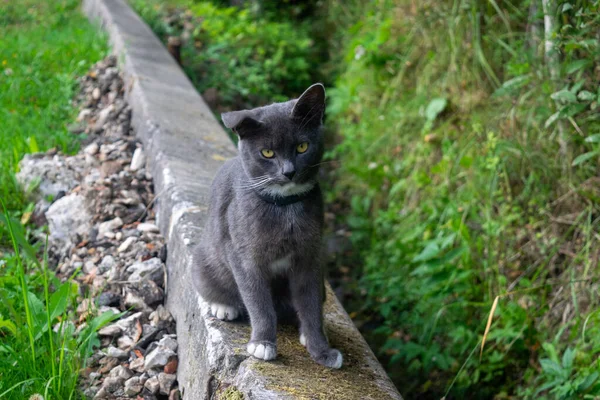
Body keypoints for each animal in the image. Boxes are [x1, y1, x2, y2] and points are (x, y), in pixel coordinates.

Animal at [192, 83, 342, 368]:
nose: (289, 172)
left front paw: (321, 350)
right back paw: (224, 307)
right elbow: (258, 303)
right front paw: (262, 343)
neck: (285, 208)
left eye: (302, 146)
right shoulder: (244, 257)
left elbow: (310, 305)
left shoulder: (310, 258)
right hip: (203, 261)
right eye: (268, 153)